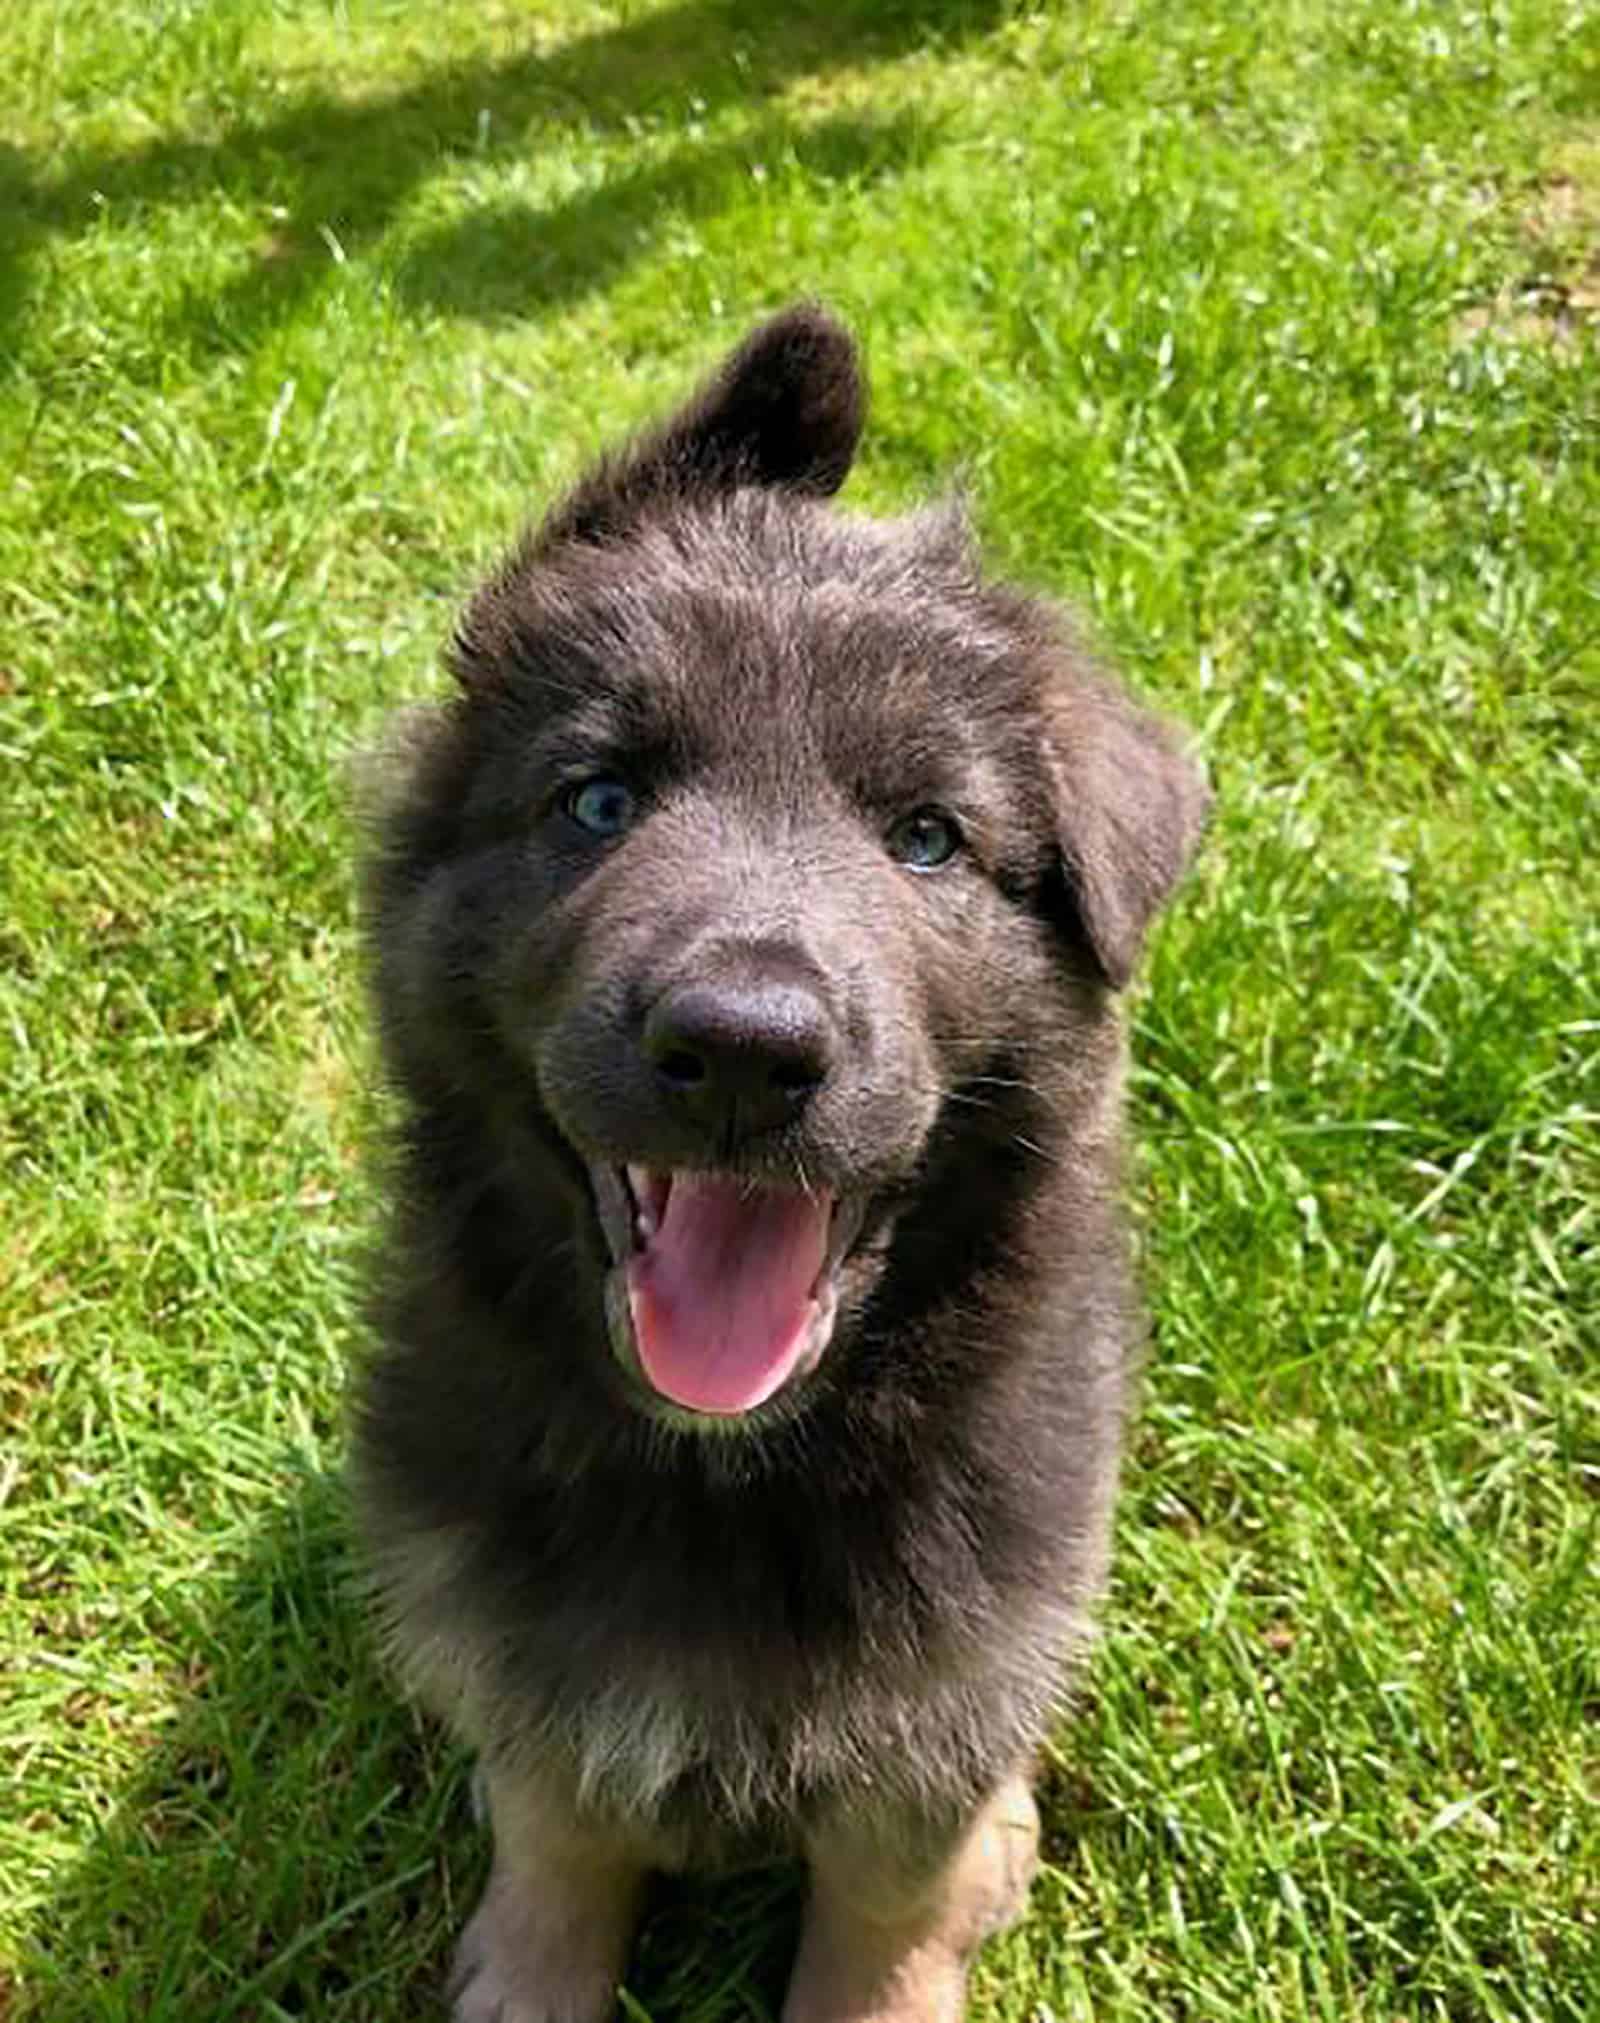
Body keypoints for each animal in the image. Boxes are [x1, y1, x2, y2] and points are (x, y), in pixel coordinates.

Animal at [347, 303, 1197, 2023]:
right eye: (596, 801)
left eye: (929, 838)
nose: (742, 1048)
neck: (723, 1468)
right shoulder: (531, 1651)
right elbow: (558, 1826)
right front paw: (533, 1967)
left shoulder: (943, 1698)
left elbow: (885, 1906)